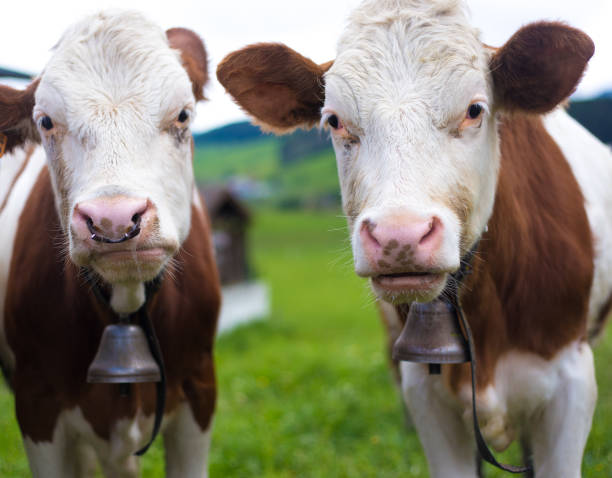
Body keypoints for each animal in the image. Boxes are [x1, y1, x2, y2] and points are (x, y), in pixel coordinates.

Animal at [0, 11, 220, 478]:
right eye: (46, 121)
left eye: (183, 115)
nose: (113, 220)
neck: (125, 302)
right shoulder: (37, 404)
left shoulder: (200, 390)